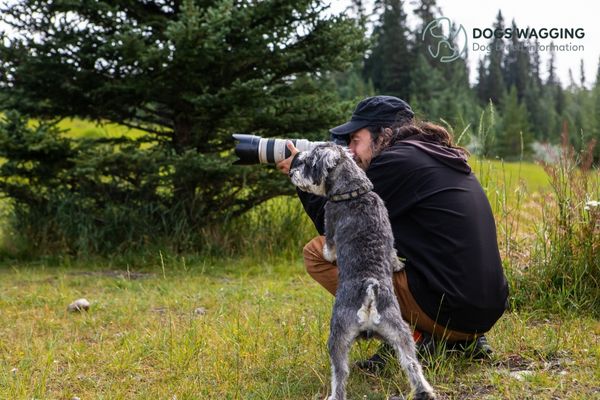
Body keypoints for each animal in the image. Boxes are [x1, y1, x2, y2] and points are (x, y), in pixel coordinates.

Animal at [288, 144, 434, 400]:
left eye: (307, 163)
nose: (292, 174)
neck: (354, 192)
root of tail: (369, 290)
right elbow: (393, 251)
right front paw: (397, 264)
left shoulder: (329, 225)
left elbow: (328, 249)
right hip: (400, 334)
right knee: (411, 364)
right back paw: (425, 391)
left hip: (337, 337)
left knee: (340, 374)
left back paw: (334, 395)